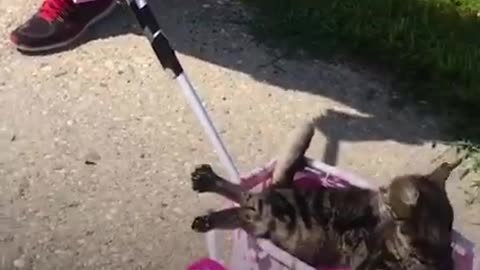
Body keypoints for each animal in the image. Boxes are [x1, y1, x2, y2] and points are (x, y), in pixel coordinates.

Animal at [189, 121, 460, 270]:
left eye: (387, 191)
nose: (378, 191)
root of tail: (284, 186)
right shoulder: (366, 252)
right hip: (277, 214)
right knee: (244, 198)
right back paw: (208, 189)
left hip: (266, 222)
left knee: (243, 202)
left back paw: (208, 201)